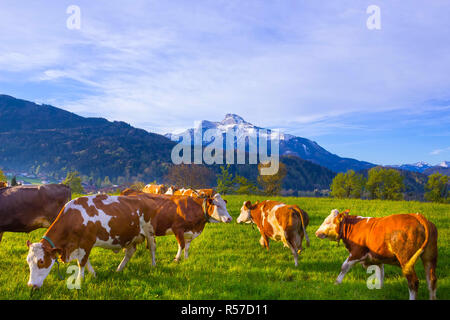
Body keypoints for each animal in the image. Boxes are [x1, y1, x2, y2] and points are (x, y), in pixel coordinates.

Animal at [25, 194, 160, 288]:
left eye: (41, 261)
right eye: (28, 261)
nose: (31, 285)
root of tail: (142, 197)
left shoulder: (86, 242)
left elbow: (82, 262)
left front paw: (79, 280)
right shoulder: (79, 245)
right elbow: (86, 261)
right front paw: (93, 275)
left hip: (149, 231)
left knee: (152, 248)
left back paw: (153, 266)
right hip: (131, 237)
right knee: (130, 252)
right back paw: (119, 269)